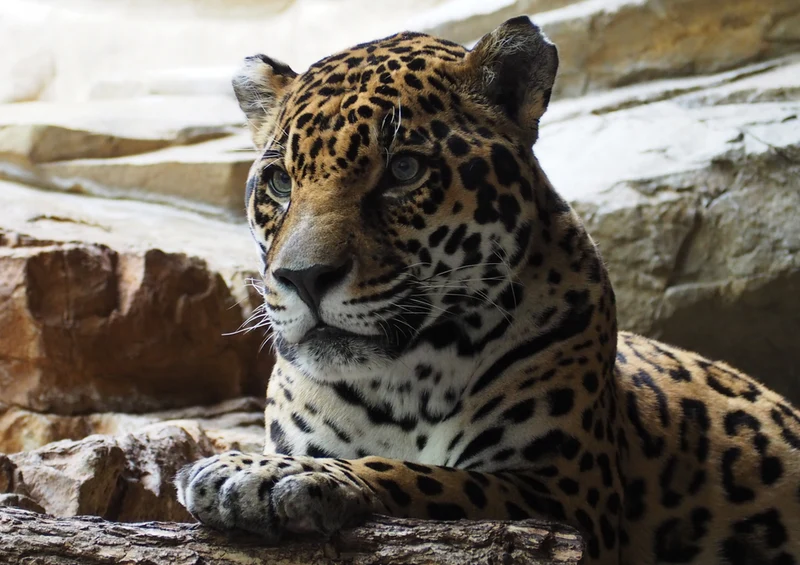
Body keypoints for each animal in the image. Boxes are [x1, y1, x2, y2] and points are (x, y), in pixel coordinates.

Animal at [176, 16, 800, 565]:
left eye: (404, 170)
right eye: (280, 182)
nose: (303, 278)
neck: (398, 383)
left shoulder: (566, 492)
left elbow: (426, 476)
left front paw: (255, 474)